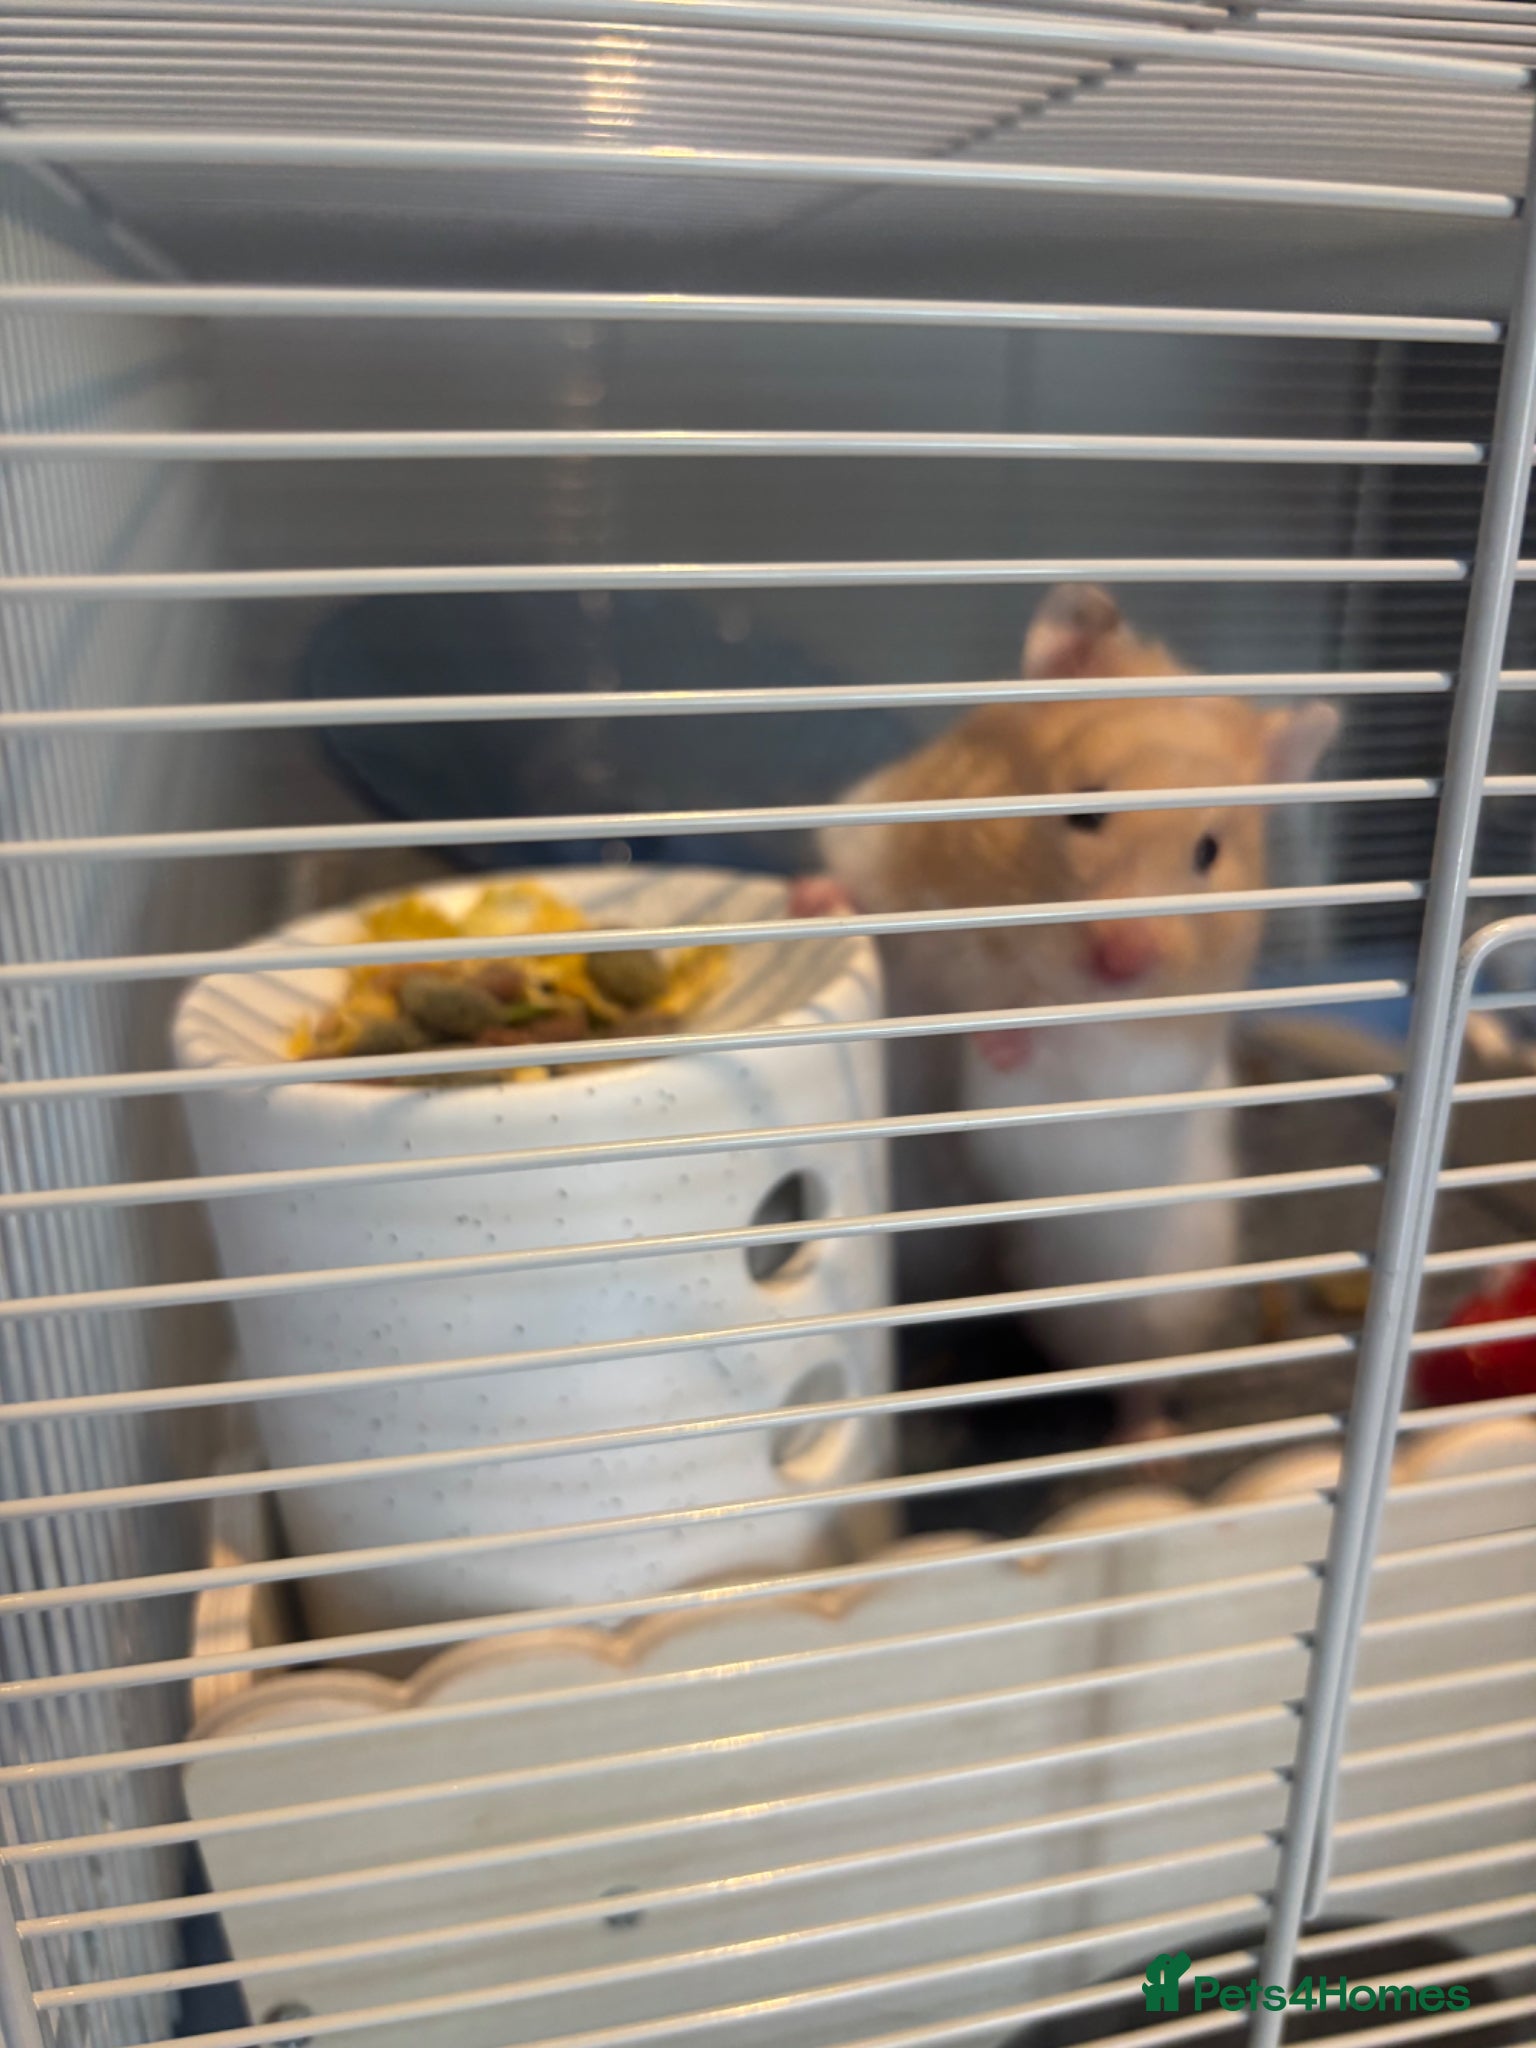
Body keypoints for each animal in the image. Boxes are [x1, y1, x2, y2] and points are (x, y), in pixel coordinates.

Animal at [808, 584, 1339, 1430]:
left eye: (1209, 852)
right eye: (1084, 808)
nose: (1122, 960)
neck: (1005, 949)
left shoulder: (1139, 1065)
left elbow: (1064, 1056)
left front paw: (1005, 1034)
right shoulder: (890, 878)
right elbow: (879, 932)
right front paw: (816, 900)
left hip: (1142, 1300)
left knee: (1139, 1380)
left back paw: (1145, 1442)